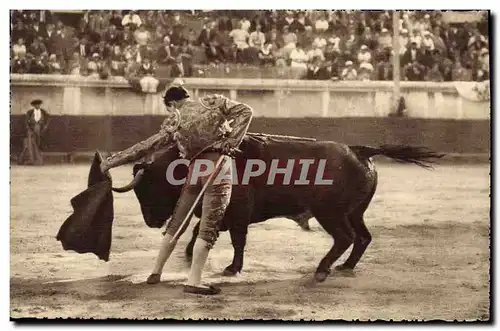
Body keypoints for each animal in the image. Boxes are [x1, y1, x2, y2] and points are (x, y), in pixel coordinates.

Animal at [118, 136, 442, 282]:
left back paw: (322, 269)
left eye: (148, 187)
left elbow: (237, 240)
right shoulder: (222, 214)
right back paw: (345, 266)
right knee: (363, 237)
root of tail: (360, 150)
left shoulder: (239, 214)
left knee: (345, 237)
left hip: (330, 213)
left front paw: (233, 268)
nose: (150, 222)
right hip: (354, 212)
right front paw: (188, 256)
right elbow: (201, 231)